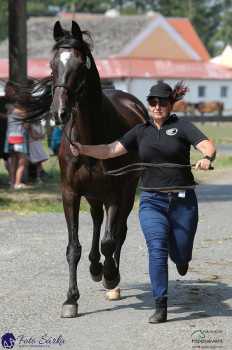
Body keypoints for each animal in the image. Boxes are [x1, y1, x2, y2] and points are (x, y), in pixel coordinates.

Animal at [25, 21, 150, 318]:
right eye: (52, 65)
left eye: (81, 66)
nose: (58, 112)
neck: (92, 138)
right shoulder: (70, 193)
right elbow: (74, 247)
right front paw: (71, 299)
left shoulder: (115, 193)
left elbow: (110, 240)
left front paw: (111, 276)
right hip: (93, 195)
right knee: (96, 221)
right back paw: (95, 267)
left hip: (127, 192)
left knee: (118, 232)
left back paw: (110, 278)